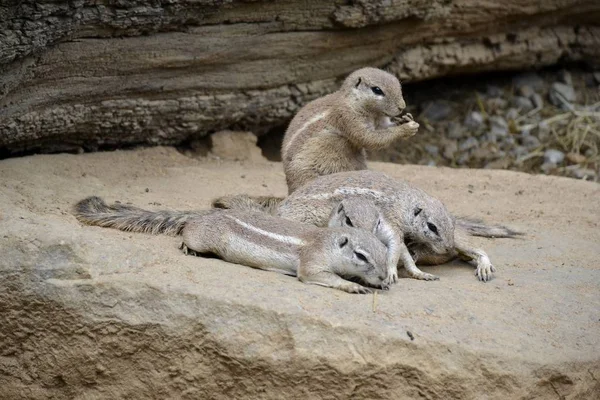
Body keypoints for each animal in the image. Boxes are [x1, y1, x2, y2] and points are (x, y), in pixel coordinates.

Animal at [74, 195, 390, 292]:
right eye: (361, 255)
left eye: (385, 252)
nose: (384, 277)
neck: (326, 241)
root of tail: (208, 214)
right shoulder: (311, 262)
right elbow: (318, 276)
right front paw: (352, 285)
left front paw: (379, 283)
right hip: (203, 236)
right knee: (188, 232)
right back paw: (188, 246)